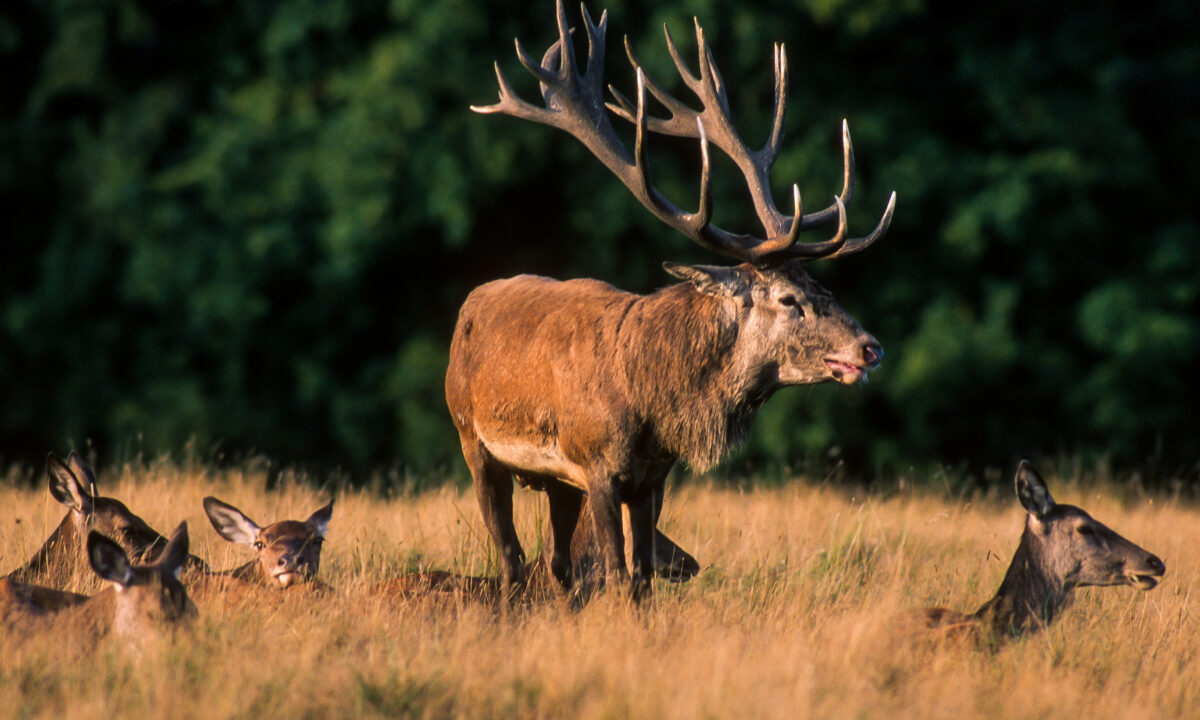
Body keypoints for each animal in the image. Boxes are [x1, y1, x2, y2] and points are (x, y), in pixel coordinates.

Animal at [449, 0, 895, 600]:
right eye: (787, 298)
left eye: (824, 287)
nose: (870, 347)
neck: (653, 406)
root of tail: (471, 302)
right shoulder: (597, 463)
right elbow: (617, 575)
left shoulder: (653, 478)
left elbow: (641, 579)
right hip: (471, 436)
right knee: (510, 556)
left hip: (553, 478)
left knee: (557, 565)